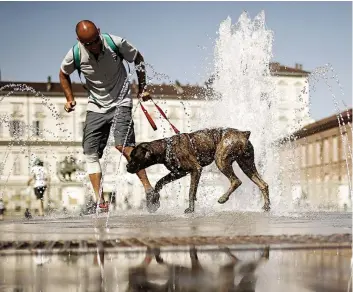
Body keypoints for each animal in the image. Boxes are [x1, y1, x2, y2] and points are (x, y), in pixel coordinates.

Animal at [126, 126, 270, 213]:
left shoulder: (195, 170)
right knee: (263, 184)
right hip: (247, 165)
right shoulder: (177, 173)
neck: (166, 148)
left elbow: (190, 192)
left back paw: (223, 198)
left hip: (221, 160)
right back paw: (266, 206)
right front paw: (154, 200)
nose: (127, 166)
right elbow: (159, 182)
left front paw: (190, 209)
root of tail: (243, 133)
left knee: (236, 181)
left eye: (133, 157)